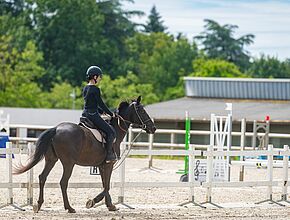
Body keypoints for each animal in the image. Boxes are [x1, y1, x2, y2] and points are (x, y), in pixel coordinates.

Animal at [13, 95, 156, 212]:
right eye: (142, 111)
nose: (153, 128)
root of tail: (56, 129)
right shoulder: (109, 164)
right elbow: (107, 186)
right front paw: (92, 202)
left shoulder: (102, 165)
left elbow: (105, 184)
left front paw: (110, 205)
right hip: (68, 163)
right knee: (63, 182)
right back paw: (69, 208)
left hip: (51, 160)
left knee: (42, 177)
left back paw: (38, 205)